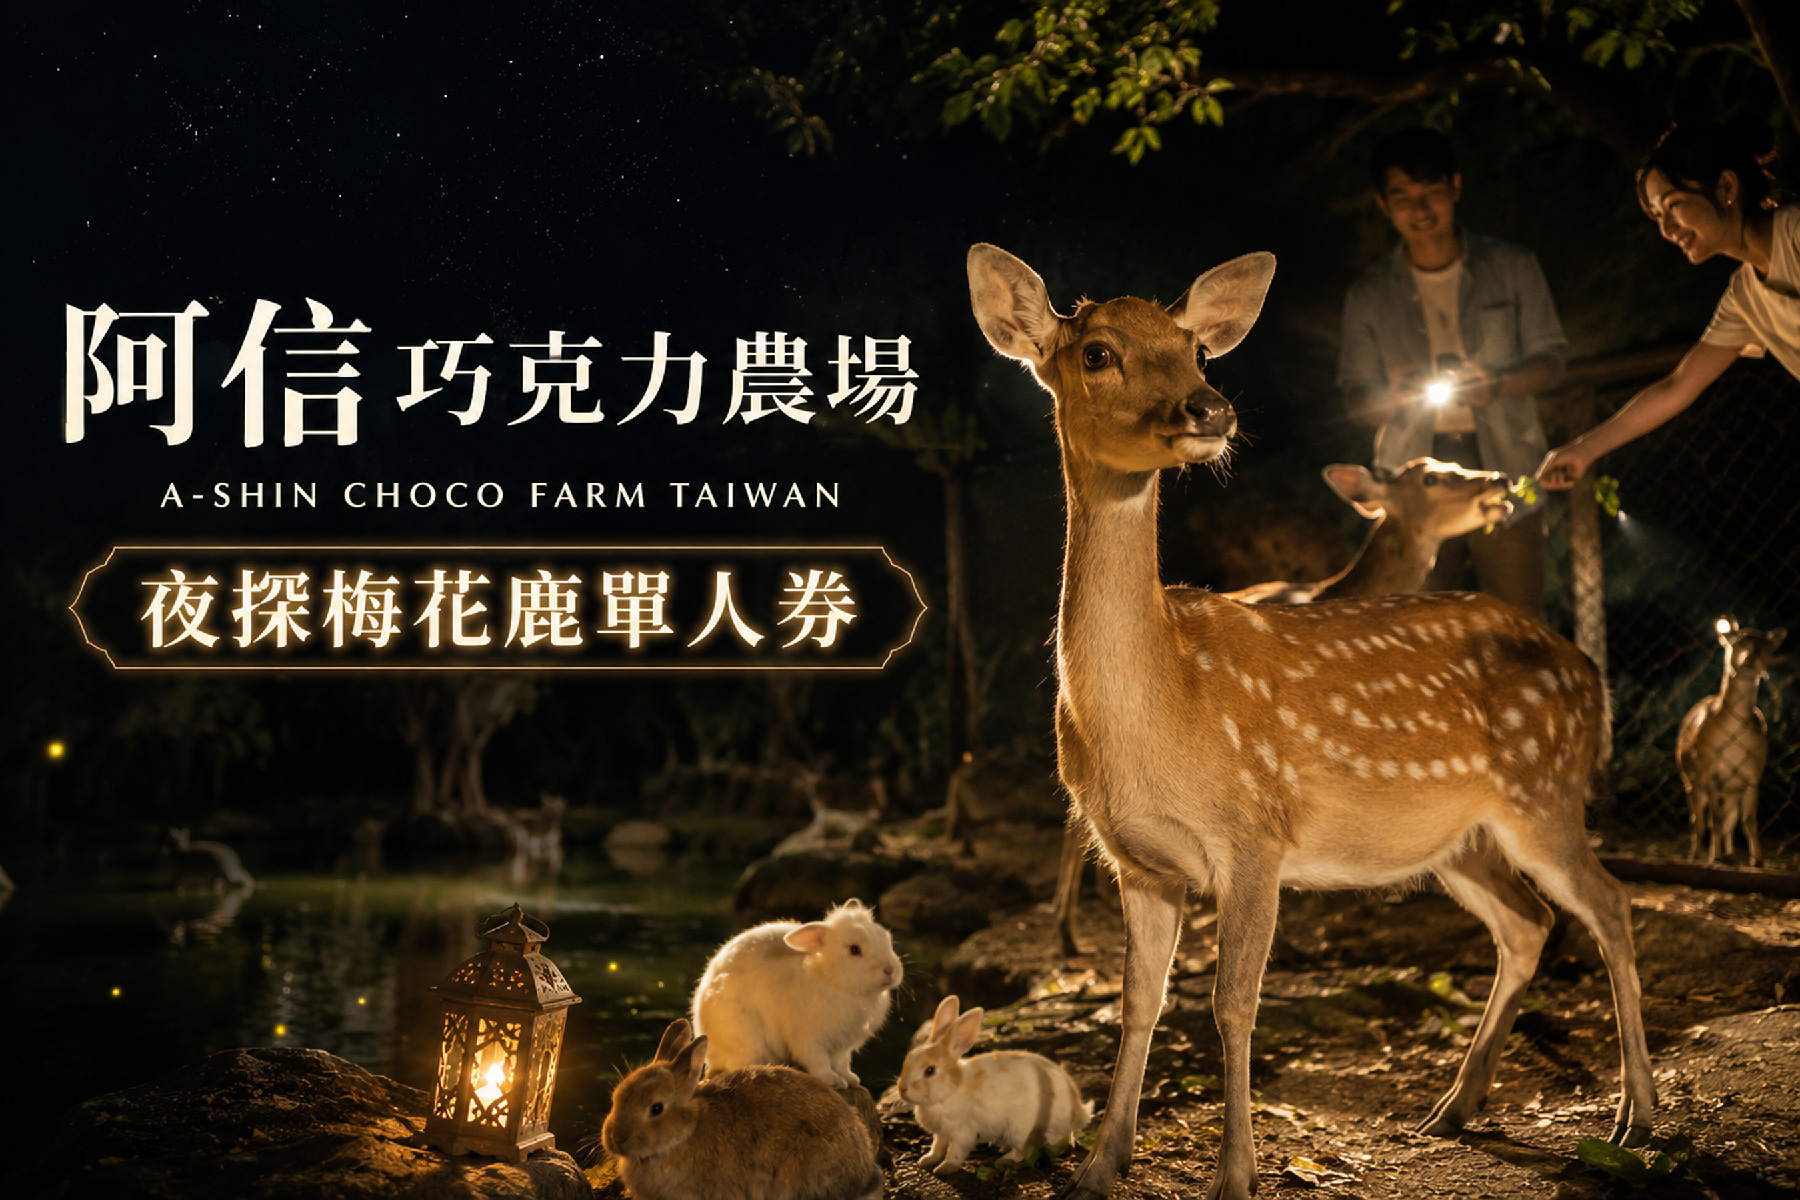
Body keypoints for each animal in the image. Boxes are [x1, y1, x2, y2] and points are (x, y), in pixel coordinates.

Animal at [1677, 618, 1786, 866]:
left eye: (1765, 647)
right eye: (1738, 642)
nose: (1750, 658)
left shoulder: (1753, 775)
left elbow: (1748, 821)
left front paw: (1757, 860)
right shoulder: (1709, 773)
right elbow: (1714, 820)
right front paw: (1714, 858)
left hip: (1730, 792)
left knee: (1729, 821)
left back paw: (1729, 853)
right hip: (1690, 781)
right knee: (1697, 818)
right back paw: (1696, 854)